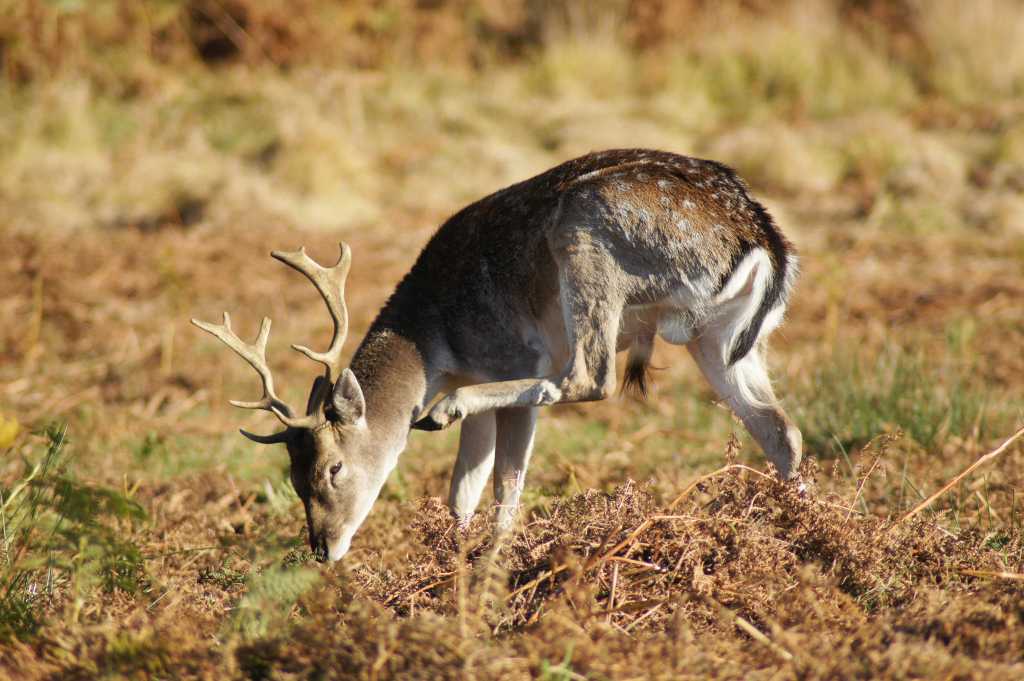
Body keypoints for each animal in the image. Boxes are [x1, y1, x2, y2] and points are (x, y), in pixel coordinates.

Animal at [192, 148, 798, 561]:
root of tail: (762, 240)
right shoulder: (474, 368)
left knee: (588, 376)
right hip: (721, 338)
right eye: (292, 477)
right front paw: (451, 561)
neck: (437, 340)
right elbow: (462, 489)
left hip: (587, 244)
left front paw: (490, 561)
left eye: (333, 467)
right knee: (778, 427)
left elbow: (506, 485)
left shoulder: (511, 358)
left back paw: (442, 410)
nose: (323, 548)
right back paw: (801, 529)